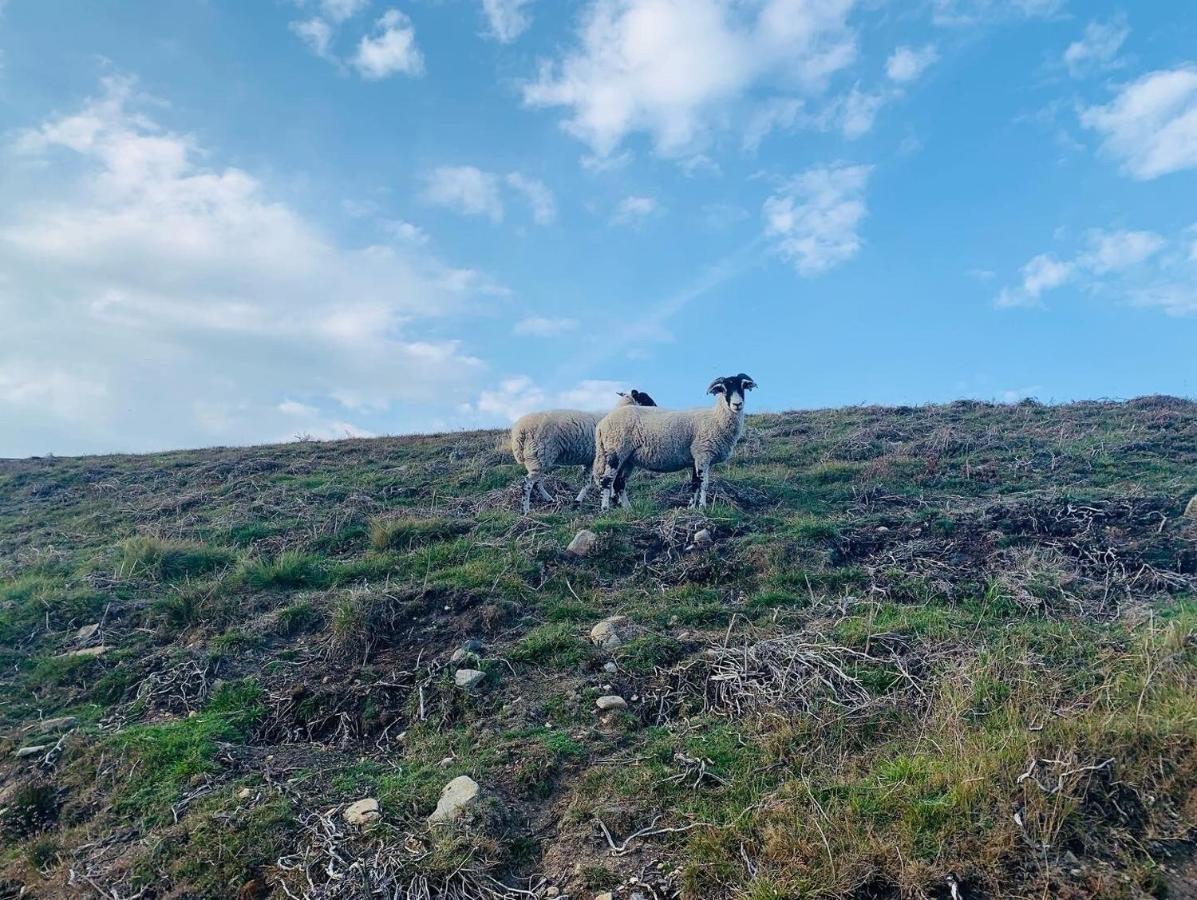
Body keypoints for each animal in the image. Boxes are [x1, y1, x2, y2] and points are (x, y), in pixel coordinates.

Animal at [507, 387, 655, 512]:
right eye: (645, 398)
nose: (656, 407)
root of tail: (519, 430)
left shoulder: (590, 460)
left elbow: (589, 483)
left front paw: (578, 502)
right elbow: (607, 480)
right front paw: (611, 500)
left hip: (536, 457)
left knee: (537, 482)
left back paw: (550, 500)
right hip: (540, 453)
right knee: (527, 483)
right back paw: (526, 510)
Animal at [596, 371, 756, 509]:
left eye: (743, 387)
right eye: (723, 389)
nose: (737, 404)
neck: (716, 418)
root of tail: (602, 424)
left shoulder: (695, 457)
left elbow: (695, 484)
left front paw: (692, 507)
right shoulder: (703, 453)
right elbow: (704, 484)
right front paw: (703, 506)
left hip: (628, 458)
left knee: (619, 482)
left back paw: (628, 509)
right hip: (616, 451)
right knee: (606, 480)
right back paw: (605, 508)